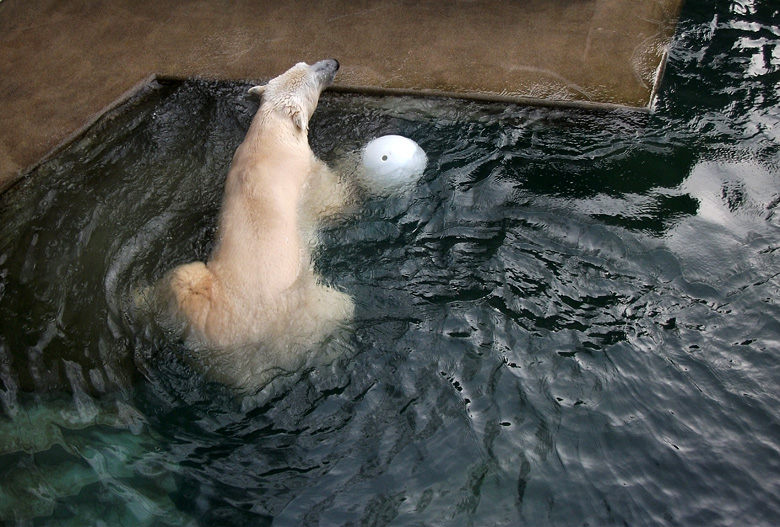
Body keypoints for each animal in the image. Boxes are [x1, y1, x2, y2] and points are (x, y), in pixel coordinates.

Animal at [146, 60, 354, 392]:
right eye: (314, 78)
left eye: (304, 63)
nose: (333, 63)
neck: (270, 138)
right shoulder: (308, 176)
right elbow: (336, 198)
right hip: (300, 312)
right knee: (340, 306)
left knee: (180, 279)